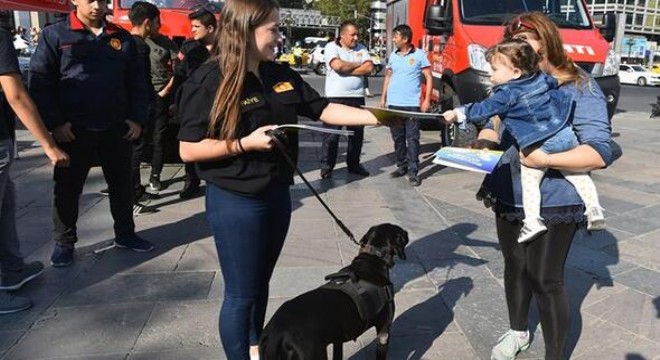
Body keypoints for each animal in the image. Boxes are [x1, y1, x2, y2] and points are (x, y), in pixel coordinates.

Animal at [260, 224, 410, 358]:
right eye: (402, 233)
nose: (407, 232)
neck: (373, 258)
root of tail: (276, 331)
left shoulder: (338, 339)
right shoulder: (384, 331)